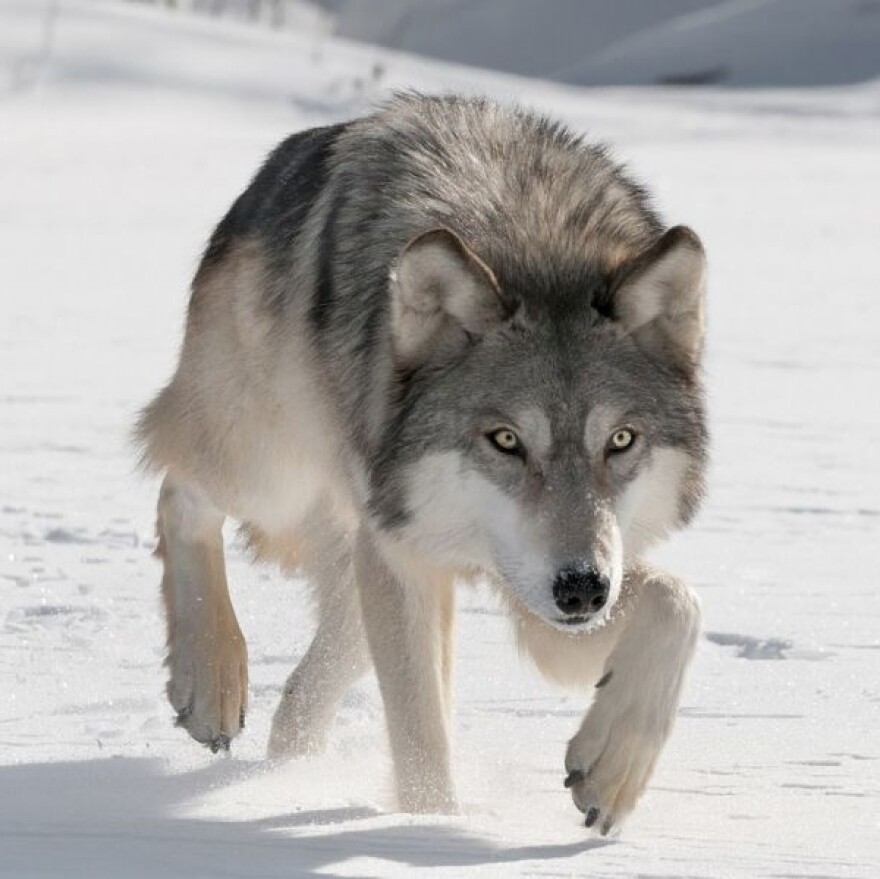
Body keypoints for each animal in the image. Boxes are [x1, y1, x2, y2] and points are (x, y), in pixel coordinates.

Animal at [139, 93, 716, 836]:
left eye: (620, 440)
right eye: (505, 439)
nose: (583, 589)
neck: (534, 242)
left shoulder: (542, 591)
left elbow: (677, 604)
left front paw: (612, 770)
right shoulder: (416, 558)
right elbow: (421, 737)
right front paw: (431, 828)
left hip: (371, 552)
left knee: (310, 682)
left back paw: (287, 771)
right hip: (272, 472)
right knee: (179, 489)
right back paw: (211, 684)